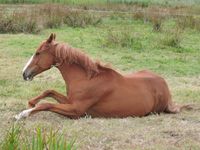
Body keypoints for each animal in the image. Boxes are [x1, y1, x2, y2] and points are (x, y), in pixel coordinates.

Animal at [14, 33, 190, 120]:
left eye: (38, 53)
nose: (24, 73)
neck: (86, 79)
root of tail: (164, 85)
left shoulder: (76, 110)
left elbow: (46, 104)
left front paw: (23, 114)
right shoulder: (70, 101)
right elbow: (49, 92)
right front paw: (31, 103)